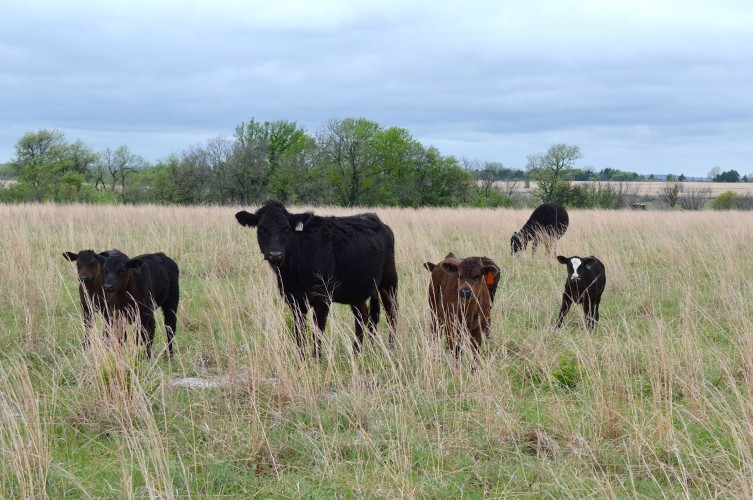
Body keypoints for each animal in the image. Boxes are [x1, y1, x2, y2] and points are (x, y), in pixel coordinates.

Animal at [235, 197, 400, 358]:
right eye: (261, 228)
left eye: (286, 228)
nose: (275, 254)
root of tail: (376, 219)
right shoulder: (294, 299)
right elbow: (300, 331)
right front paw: (301, 357)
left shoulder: (323, 297)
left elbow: (318, 329)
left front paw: (316, 358)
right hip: (356, 289)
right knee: (362, 315)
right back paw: (356, 352)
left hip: (389, 280)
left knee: (391, 311)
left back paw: (392, 347)